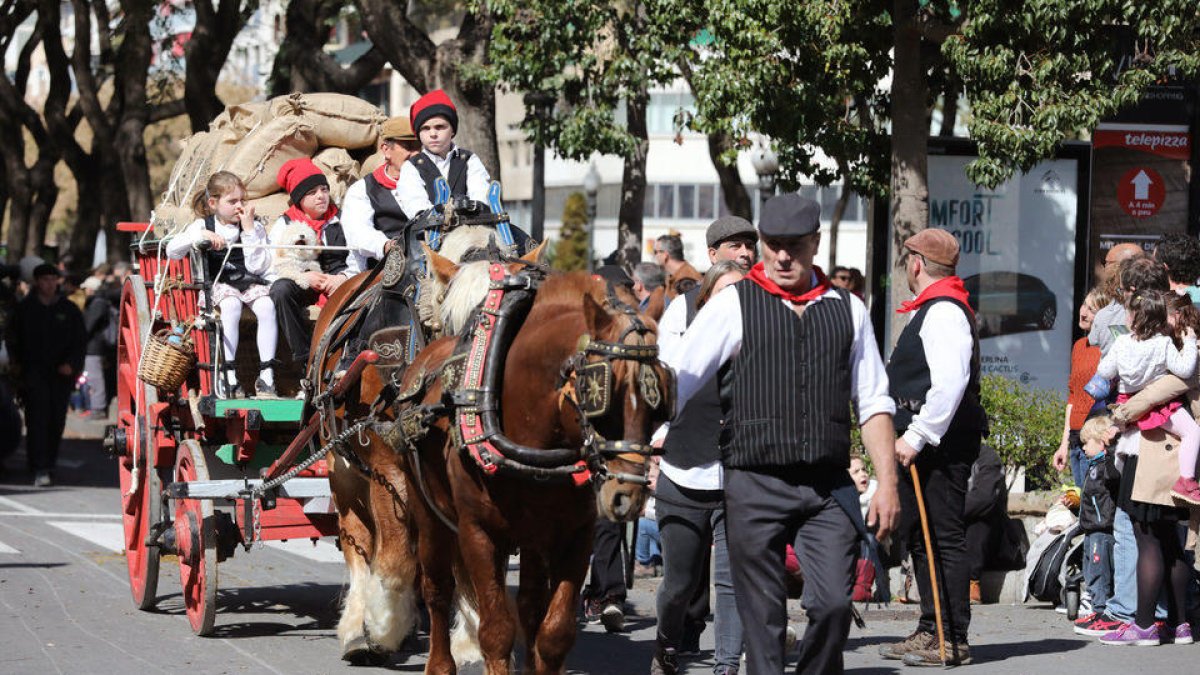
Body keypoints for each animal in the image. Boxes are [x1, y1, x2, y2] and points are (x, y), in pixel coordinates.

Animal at [396, 255, 676, 667]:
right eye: (603, 395)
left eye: (660, 400)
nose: (628, 495)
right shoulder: (478, 531)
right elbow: (495, 631)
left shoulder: (576, 534)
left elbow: (554, 632)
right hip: (428, 512)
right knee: (437, 589)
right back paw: (440, 662)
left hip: (530, 537)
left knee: (528, 606)